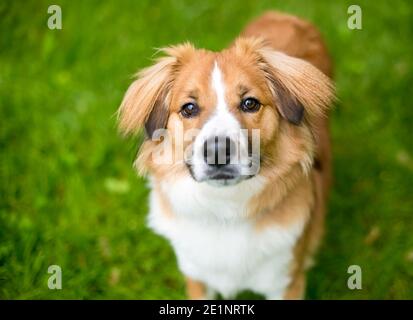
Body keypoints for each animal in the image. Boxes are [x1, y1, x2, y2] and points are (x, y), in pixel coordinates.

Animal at [116, 10, 334, 300]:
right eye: (189, 108)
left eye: (250, 103)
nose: (217, 152)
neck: (224, 210)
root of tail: (281, 14)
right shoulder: (196, 276)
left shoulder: (286, 282)